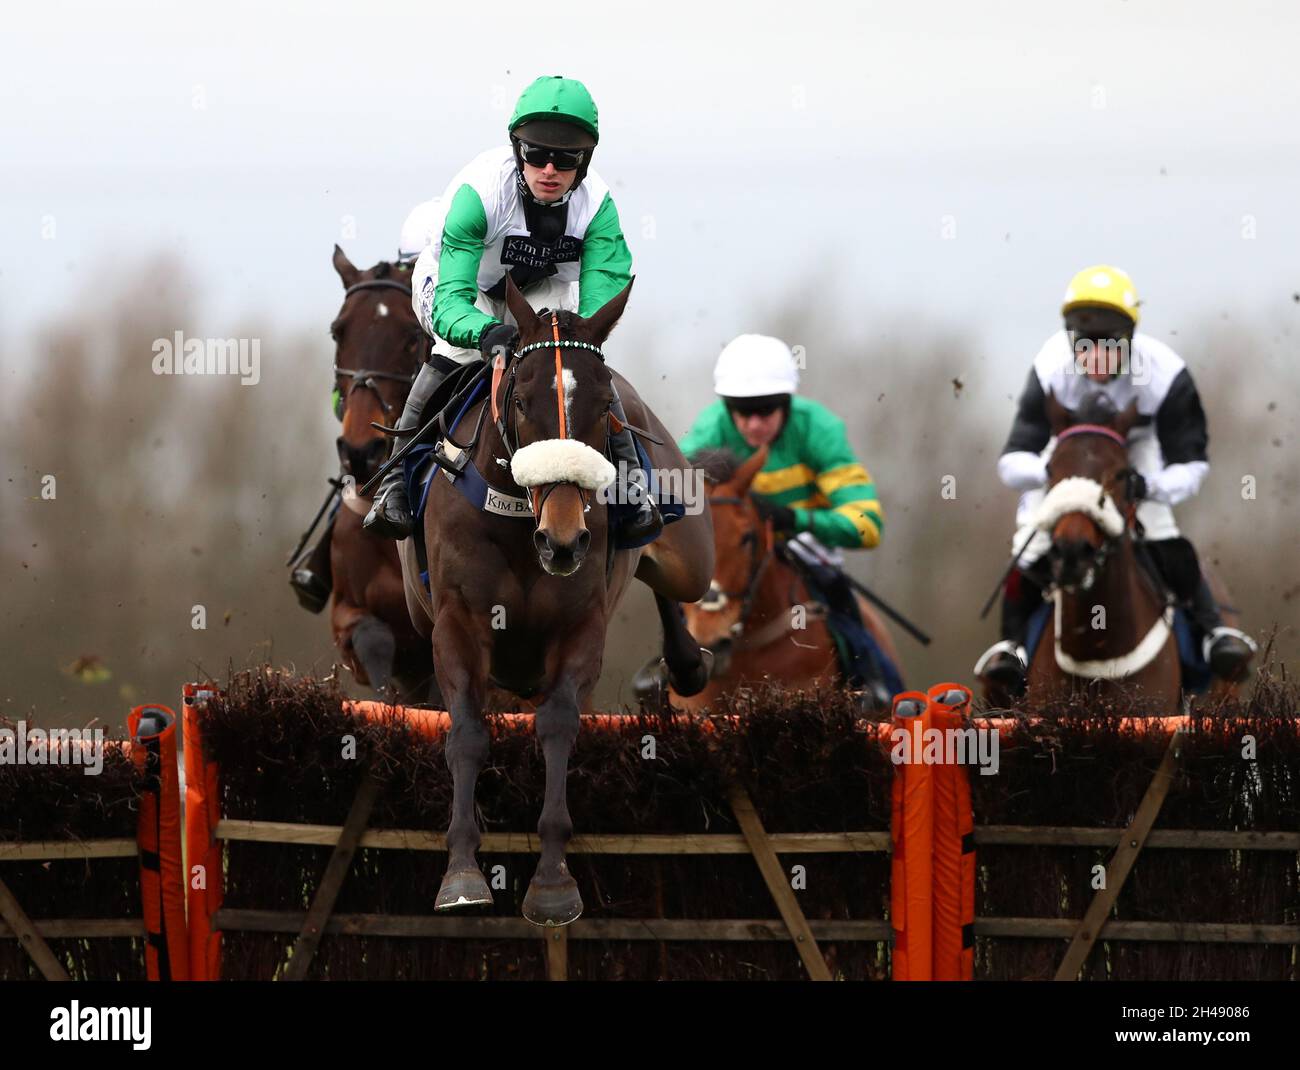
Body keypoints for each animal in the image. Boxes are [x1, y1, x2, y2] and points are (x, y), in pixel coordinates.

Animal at [400, 275, 717, 930]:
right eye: (521, 401)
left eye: (601, 407)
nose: (565, 540)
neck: (522, 522)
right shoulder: (456, 624)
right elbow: (467, 732)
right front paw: (462, 873)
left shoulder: (580, 627)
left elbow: (558, 725)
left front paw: (551, 883)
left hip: (690, 559)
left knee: (672, 583)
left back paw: (682, 665)